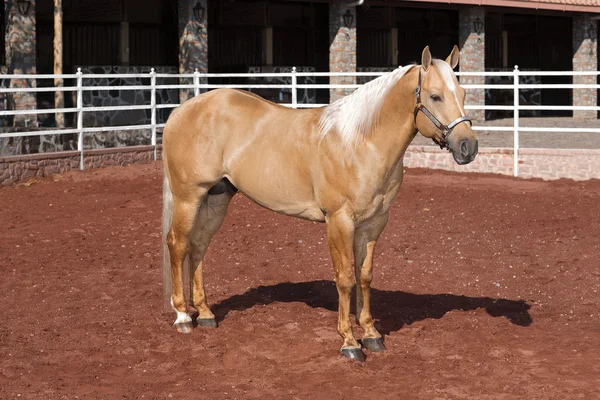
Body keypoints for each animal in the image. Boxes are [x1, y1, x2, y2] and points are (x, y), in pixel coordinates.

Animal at [161, 45, 478, 360]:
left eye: (462, 94)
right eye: (435, 96)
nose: (468, 147)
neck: (359, 143)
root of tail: (182, 110)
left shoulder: (373, 224)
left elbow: (365, 276)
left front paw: (371, 334)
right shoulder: (339, 221)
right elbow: (345, 278)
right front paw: (349, 342)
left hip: (216, 198)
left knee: (198, 246)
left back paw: (205, 314)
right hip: (189, 197)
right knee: (178, 243)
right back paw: (183, 317)